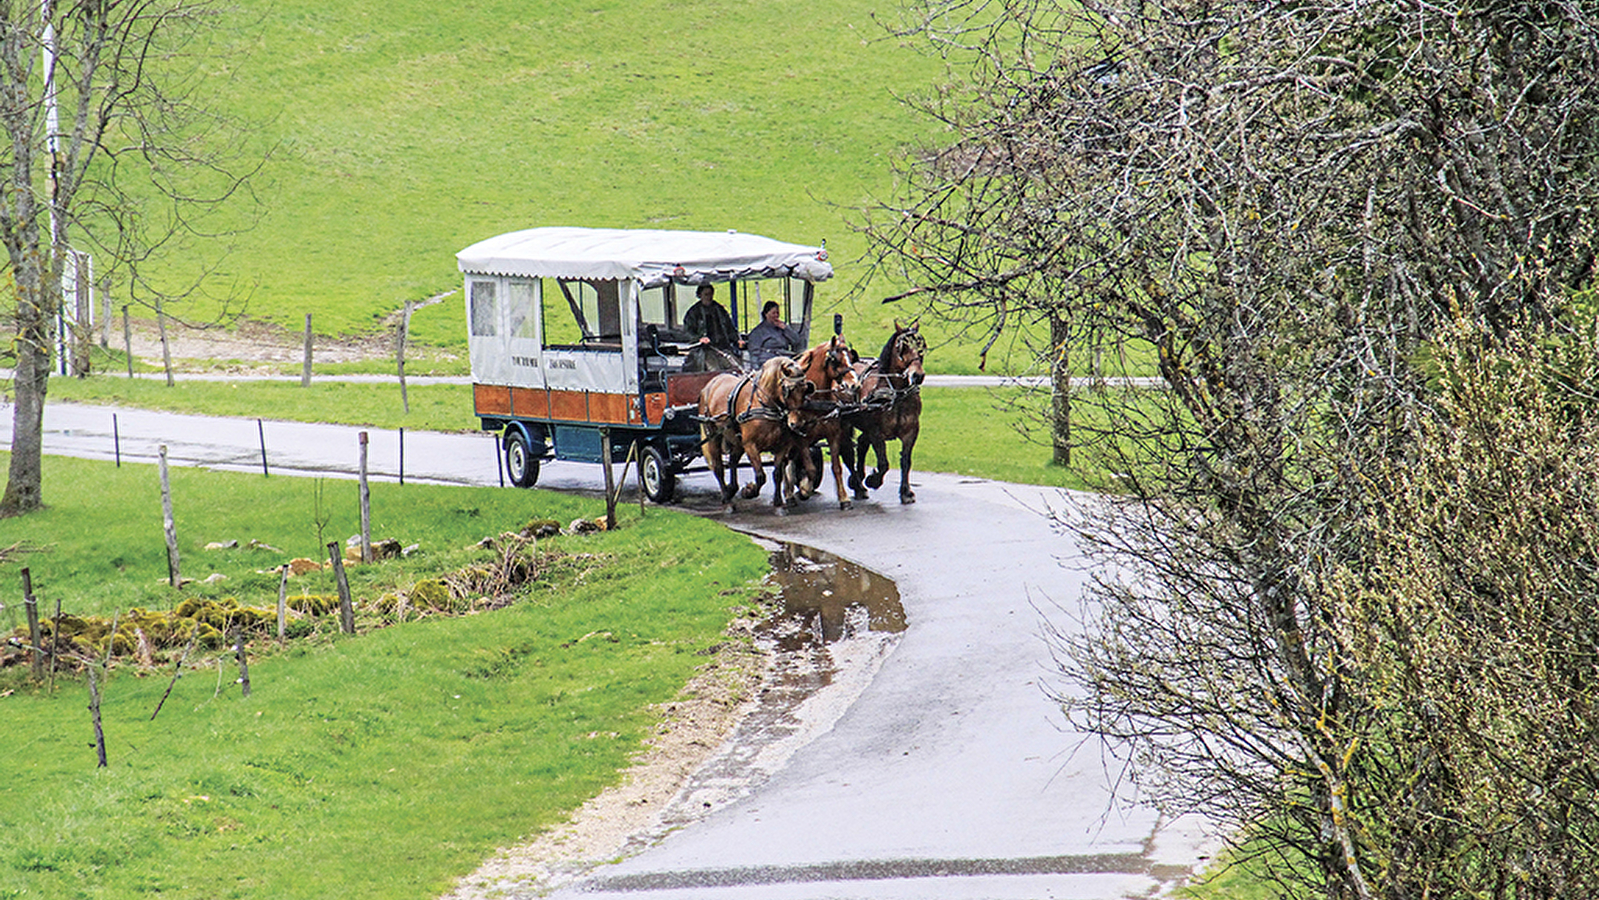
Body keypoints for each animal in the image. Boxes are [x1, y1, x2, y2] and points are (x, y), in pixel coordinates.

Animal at [703, 356, 818, 508]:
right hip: (713, 436)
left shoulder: (782, 446)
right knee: (718, 467)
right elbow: (761, 476)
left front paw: (777, 500)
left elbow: (777, 473)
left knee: (733, 461)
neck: (765, 404)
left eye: (806, 389)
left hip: (737, 441)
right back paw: (726, 497)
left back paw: (732, 489)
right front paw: (749, 491)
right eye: (788, 390)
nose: (797, 423)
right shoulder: (750, 445)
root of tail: (711, 383)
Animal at [850, 319, 927, 505]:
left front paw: (906, 492)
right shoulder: (876, 432)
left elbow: (906, 461)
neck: (896, 394)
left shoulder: (911, 431)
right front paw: (873, 480)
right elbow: (884, 463)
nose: (918, 375)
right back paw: (857, 483)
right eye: (902, 347)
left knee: (861, 444)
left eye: (921, 346)